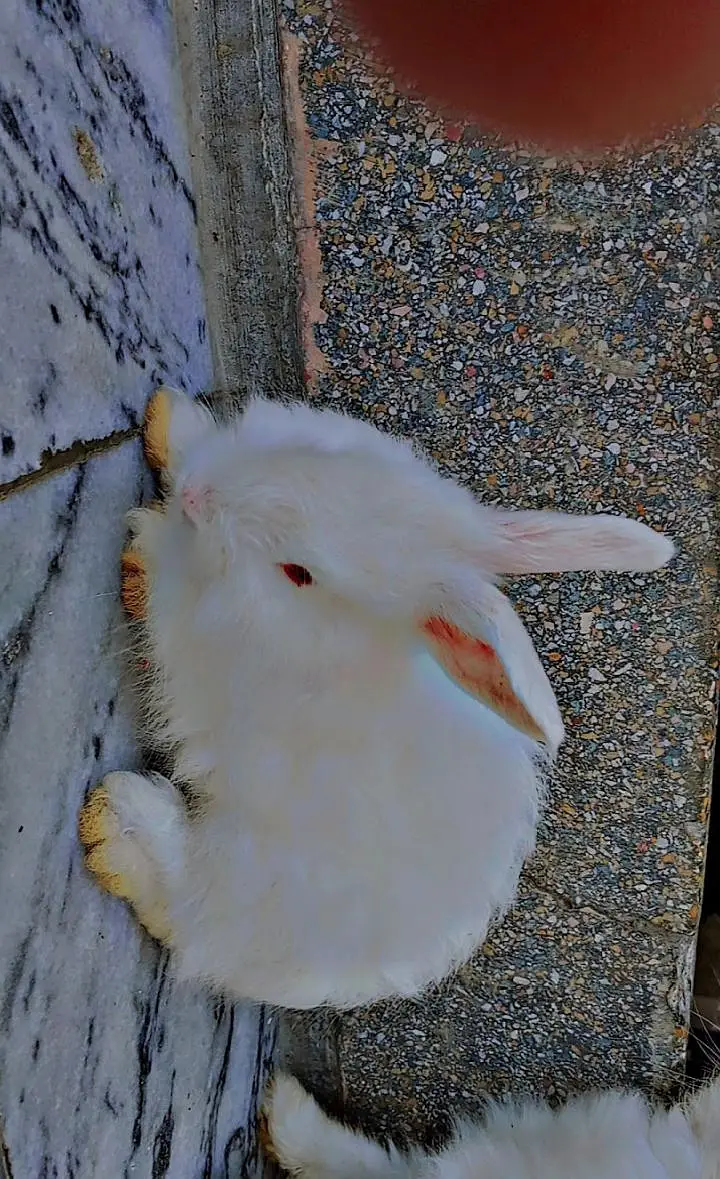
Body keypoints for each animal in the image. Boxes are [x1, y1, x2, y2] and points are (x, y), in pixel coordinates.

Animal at [79, 387, 674, 1010]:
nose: (200, 495)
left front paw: (144, 551)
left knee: (191, 914)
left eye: (299, 573)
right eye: (323, 460)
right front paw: (168, 420)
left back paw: (113, 825)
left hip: (255, 883)